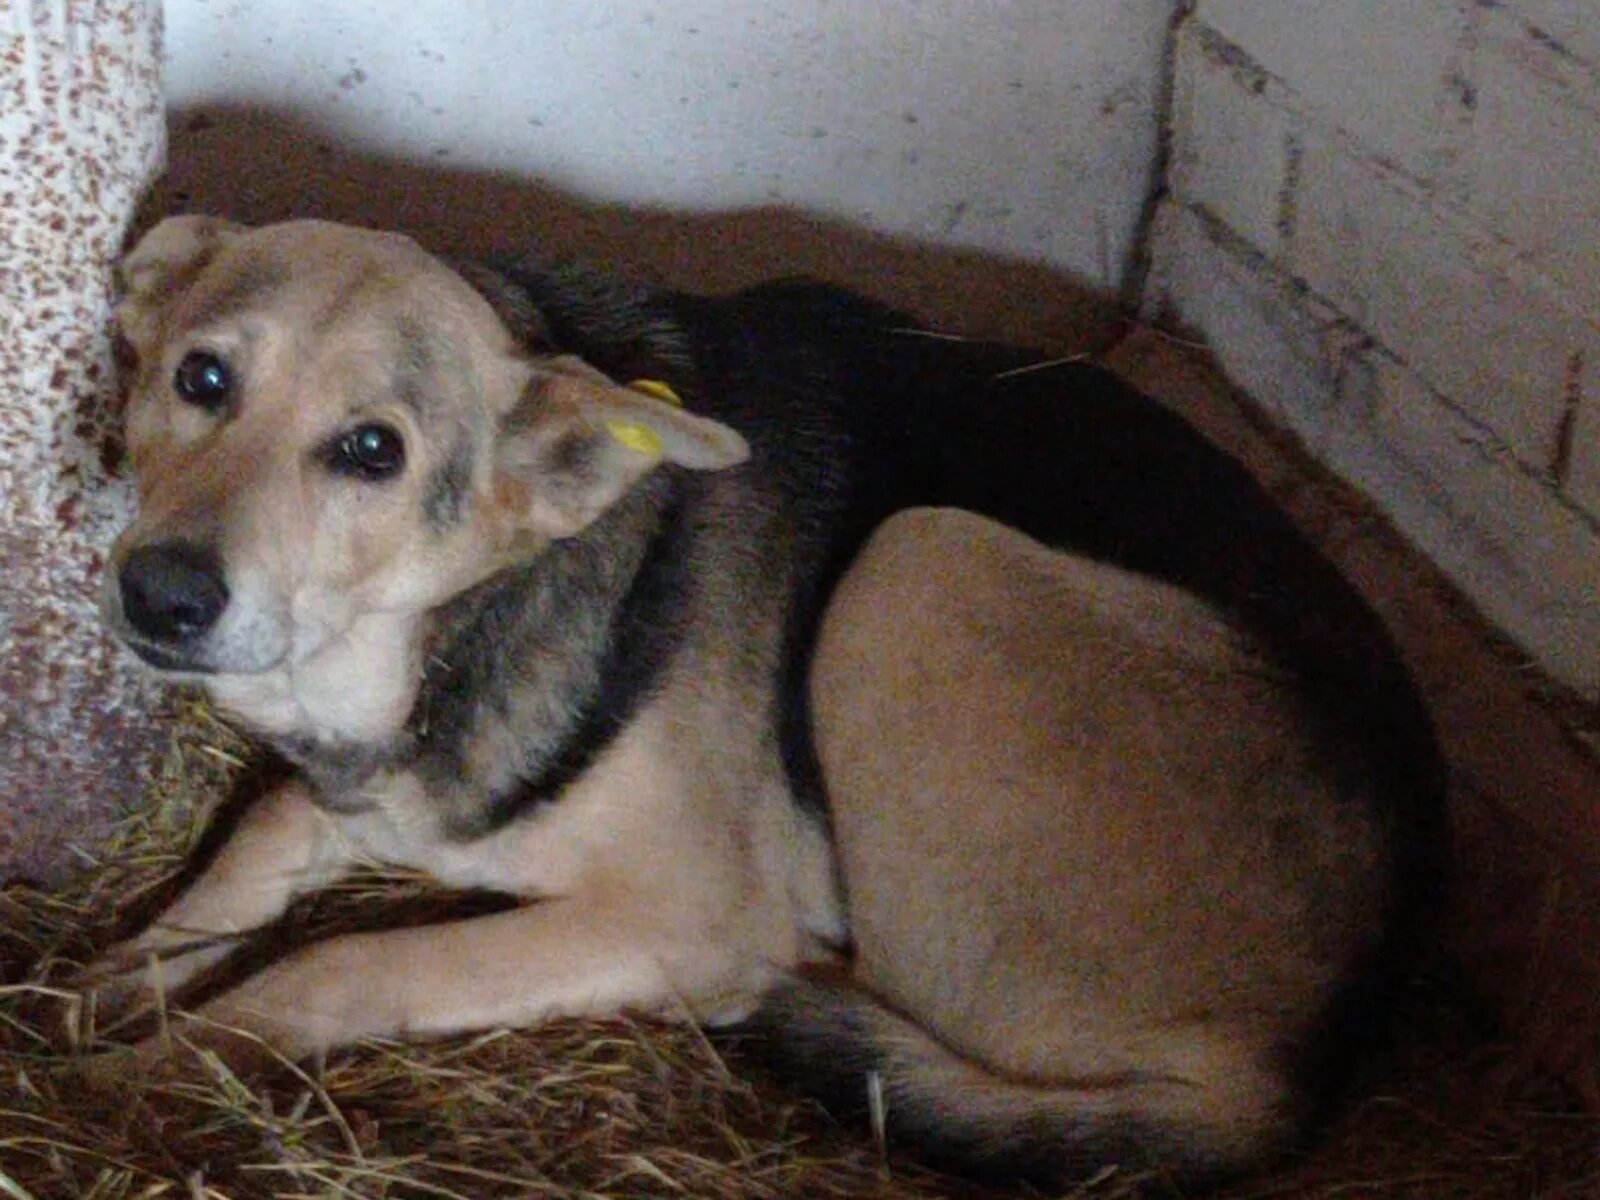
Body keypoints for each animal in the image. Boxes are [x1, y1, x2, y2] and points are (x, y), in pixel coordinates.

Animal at [84, 216, 1452, 1196]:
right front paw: (108, 979)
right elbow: (263, 832)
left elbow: (349, 960)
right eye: (201, 379)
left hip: (920, 566)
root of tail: (1306, 1059)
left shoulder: (694, 917)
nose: (162, 594)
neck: (433, 640)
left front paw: (162, 1065)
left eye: (373, 451)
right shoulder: (376, 788)